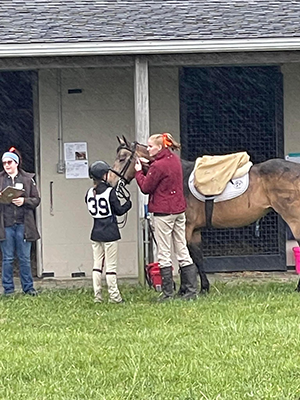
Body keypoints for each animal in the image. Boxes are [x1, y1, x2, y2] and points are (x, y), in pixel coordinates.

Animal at [109, 136, 300, 292]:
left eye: (122, 158)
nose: (109, 180)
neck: (180, 178)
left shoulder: (185, 228)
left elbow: (185, 258)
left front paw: (184, 290)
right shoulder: (194, 231)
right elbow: (198, 258)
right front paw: (204, 288)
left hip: (293, 219)